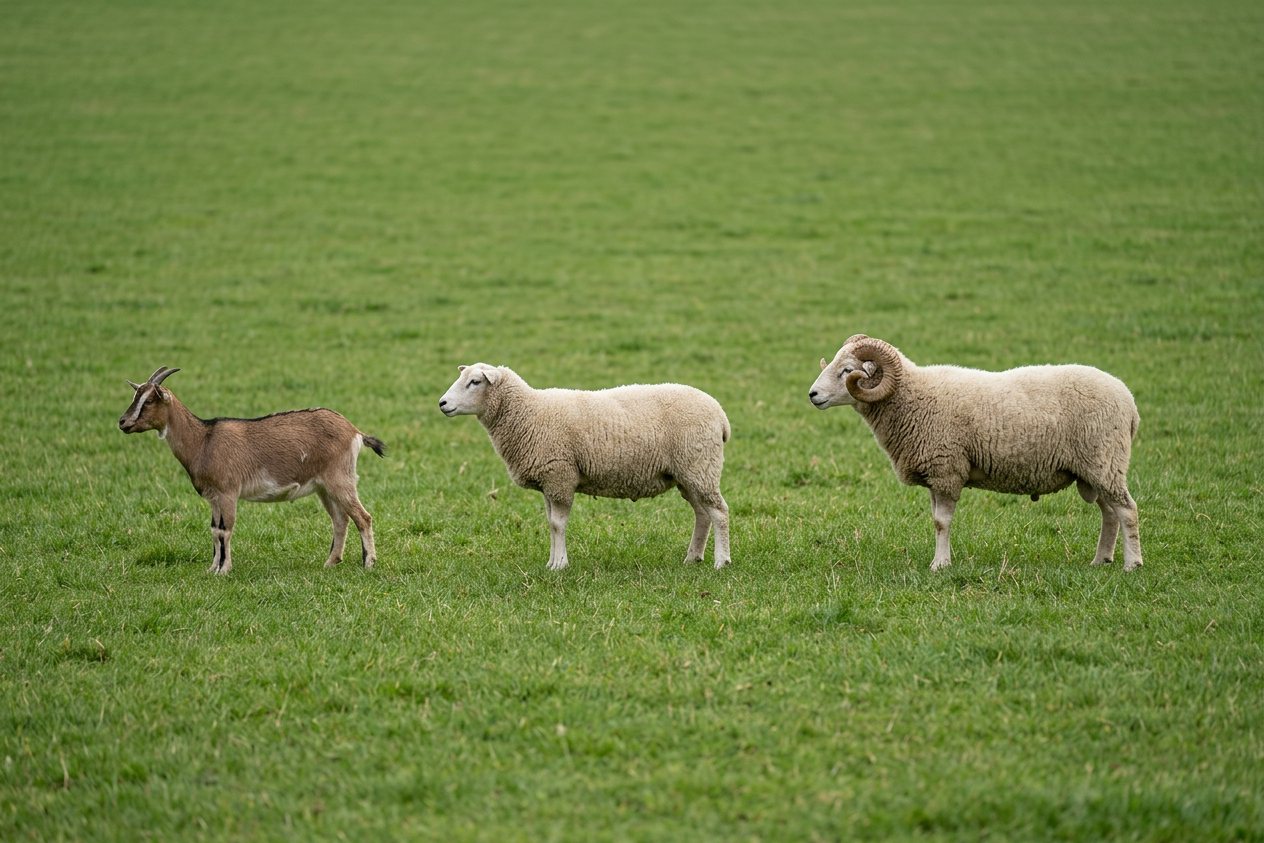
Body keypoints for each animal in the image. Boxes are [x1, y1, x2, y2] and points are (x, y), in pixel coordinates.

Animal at [119, 367, 384, 574]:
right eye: (135, 396)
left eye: (148, 401)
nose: (122, 422)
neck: (203, 440)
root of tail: (354, 431)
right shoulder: (214, 497)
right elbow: (214, 530)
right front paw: (212, 569)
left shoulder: (227, 492)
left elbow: (226, 529)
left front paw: (224, 570)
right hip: (323, 487)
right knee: (340, 520)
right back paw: (330, 563)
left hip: (339, 479)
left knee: (363, 517)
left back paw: (368, 564)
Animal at [439, 363, 732, 570]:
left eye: (475, 382)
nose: (442, 403)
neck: (528, 413)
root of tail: (720, 414)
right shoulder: (549, 482)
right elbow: (550, 523)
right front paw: (551, 562)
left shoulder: (560, 475)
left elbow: (558, 524)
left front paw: (559, 565)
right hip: (689, 473)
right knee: (702, 514)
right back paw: (693, 557)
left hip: (700, 465)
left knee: (719, 513)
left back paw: (721, 561)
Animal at [808, 335, 1142, 572]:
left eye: (847, 370)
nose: (813, 395)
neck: (911, 398)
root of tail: (1129, 402)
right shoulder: (936, 475)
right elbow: (936, 520)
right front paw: (942, 560)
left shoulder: (946, 470)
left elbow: (941, 522)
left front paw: (939, 565)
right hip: (1096, 469)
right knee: (1110, 513)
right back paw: (1101, 560)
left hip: (1104, 460)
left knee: (1127, 510)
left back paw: (1132, 564)